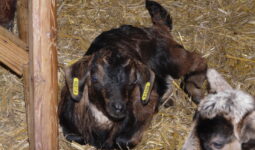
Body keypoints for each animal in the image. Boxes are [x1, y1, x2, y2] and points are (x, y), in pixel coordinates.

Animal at [59, 0, 207, 149]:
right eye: (94, 79)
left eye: (132, 82)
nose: (118, 107)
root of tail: (156, 29)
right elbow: (76, 137)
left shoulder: (145, 104)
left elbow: (123, 141)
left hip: (170, 56)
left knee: (198, 60)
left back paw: (195, 92)